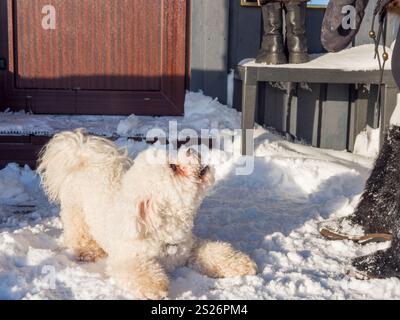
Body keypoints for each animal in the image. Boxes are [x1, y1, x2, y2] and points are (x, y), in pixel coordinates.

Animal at [36, 129, 256, 298]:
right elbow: (138, 270)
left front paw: (241, 263)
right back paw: (87, 250)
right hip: (76, 212)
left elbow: (215, 252)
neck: (160, 229)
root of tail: (82, 157)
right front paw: (155, 287)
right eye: (173, 167)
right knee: (78, 234)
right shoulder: (128, 257)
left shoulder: (191, 247)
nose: (191, 149)